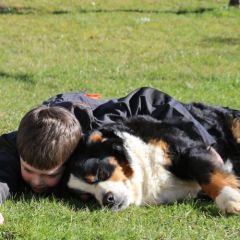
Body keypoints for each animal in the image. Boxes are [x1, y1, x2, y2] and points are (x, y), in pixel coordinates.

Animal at [66, 113, 240, 215]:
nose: (108, 200)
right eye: (87, 197)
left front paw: (230, 198)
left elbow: (207, 174)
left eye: (100, 173)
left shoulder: (188, 150)